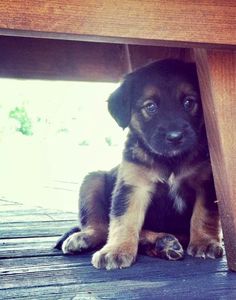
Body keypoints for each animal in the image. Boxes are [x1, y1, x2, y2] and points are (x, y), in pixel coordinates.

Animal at [55, 59, 223, 270]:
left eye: (189, 102)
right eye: (150, 107)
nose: (175, 137)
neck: (170, 161)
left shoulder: (205, 183)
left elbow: (203, 216)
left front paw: (204, 243)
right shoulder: (133, 185)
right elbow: (124, 219)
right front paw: (117, 250)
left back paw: (164, 244)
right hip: (92, 180)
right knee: (101, 228)